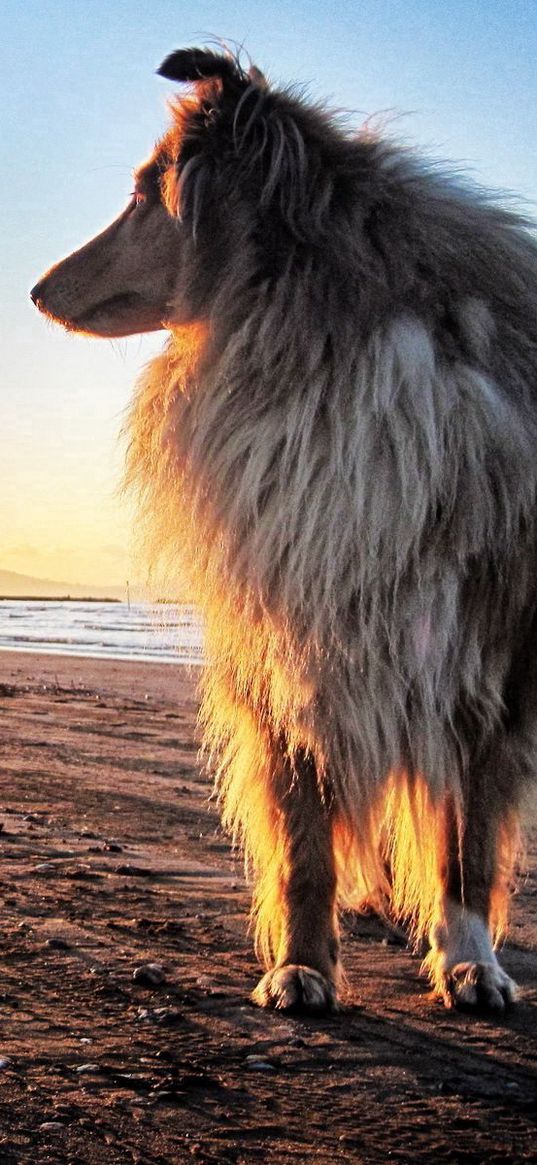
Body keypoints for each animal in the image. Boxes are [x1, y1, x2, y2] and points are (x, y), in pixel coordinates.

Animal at [32, 47, 535, 1011]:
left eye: (145, 193)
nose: (36, 292)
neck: (312, 348)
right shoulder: (287, 639)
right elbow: (304, 840)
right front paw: (300, 966)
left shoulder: (481, 656)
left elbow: (465, 839)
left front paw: (469, 961)